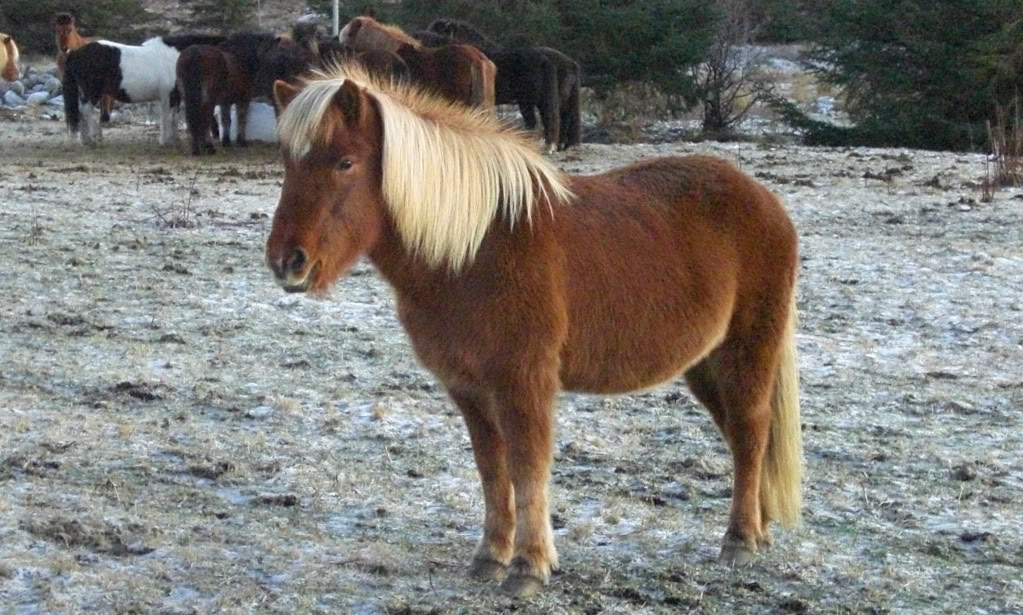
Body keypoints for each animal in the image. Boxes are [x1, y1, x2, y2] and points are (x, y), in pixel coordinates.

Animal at [62, 34, 225, 146]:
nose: (217, 136)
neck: (175, 58)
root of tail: (76, 53)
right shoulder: (168, 96)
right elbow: (167, 117)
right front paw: (165, 141)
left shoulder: (174, 96)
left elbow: (173, 118)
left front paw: (174, 139)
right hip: (92, 92)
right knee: (86, 110)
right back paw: (97, 135)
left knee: (82, 112)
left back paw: (86, 140)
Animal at [264, 66, 802, 599]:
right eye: (288, 164)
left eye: (345, 163)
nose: (287, 262)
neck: (474, 250)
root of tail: (765, 200)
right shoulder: (468, 389)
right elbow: (492, 469)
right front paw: (491, 557)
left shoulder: (523, 383)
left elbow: (527, 469)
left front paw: (528, 567)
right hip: (704, 365)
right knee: (742, 438)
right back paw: (760, 529)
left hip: (747, 351)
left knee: (751, 431)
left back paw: (739, 540)